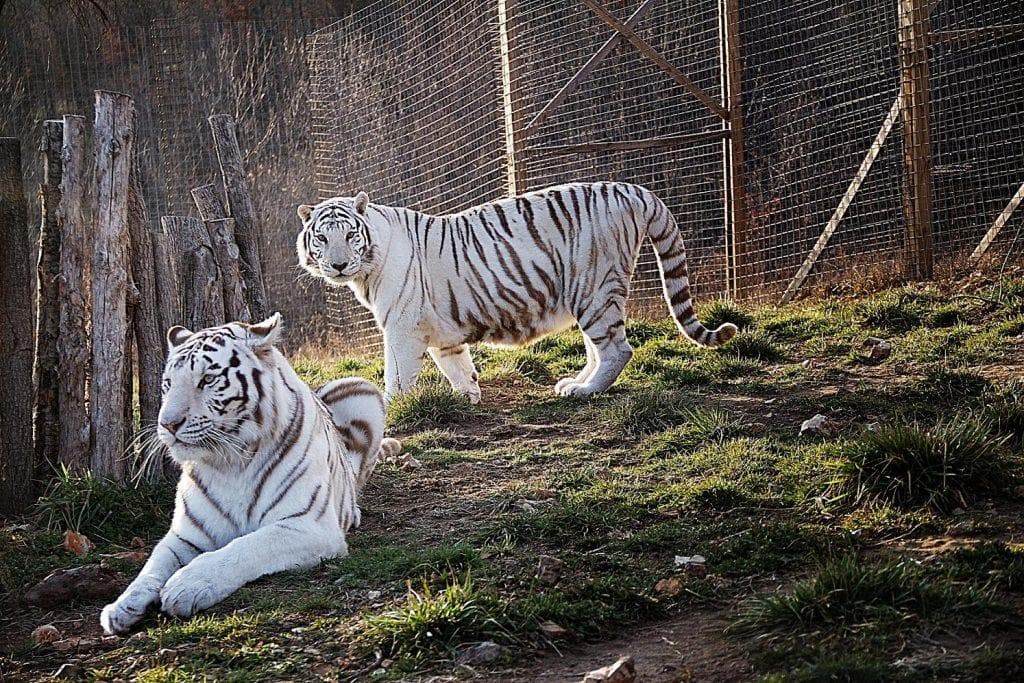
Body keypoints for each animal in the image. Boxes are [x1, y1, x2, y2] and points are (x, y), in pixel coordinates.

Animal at [100, 313, 399, 634]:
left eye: (207, 379)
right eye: (168, 383)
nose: (167, 424)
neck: (229, 463)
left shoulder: (307, 525)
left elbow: (243, 547)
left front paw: (187, 585)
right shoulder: (185, 536)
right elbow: (153, 564)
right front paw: (121, 606)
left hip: (361, 389)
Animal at [296, 181, 737, 403]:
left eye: (350, 235)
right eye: (322, 237)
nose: (338, 265)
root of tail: (632, 189)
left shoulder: (402, 329)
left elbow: (397, 376)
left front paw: (392, 407)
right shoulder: (440, 331)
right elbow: (456, 365)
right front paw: (469, 396)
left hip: (593, 288)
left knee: (617, 349)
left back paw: (585, 391)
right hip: (589, 295)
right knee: (599, 347)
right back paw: (572, 382)